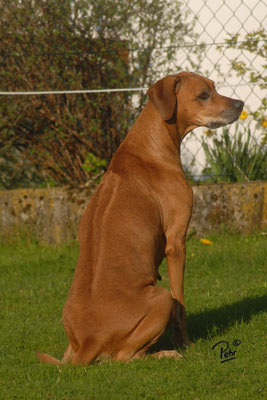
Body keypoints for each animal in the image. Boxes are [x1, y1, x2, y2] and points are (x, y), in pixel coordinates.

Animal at [37, 70, 245, 364]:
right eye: (203, 95)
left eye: (215, 87)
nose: (240, 104)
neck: (149, 143)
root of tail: (88, 342)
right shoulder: (176, 243)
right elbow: (181, 306)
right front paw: (185, 343)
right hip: (161, 298)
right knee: (126, 357)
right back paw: (166, 353)